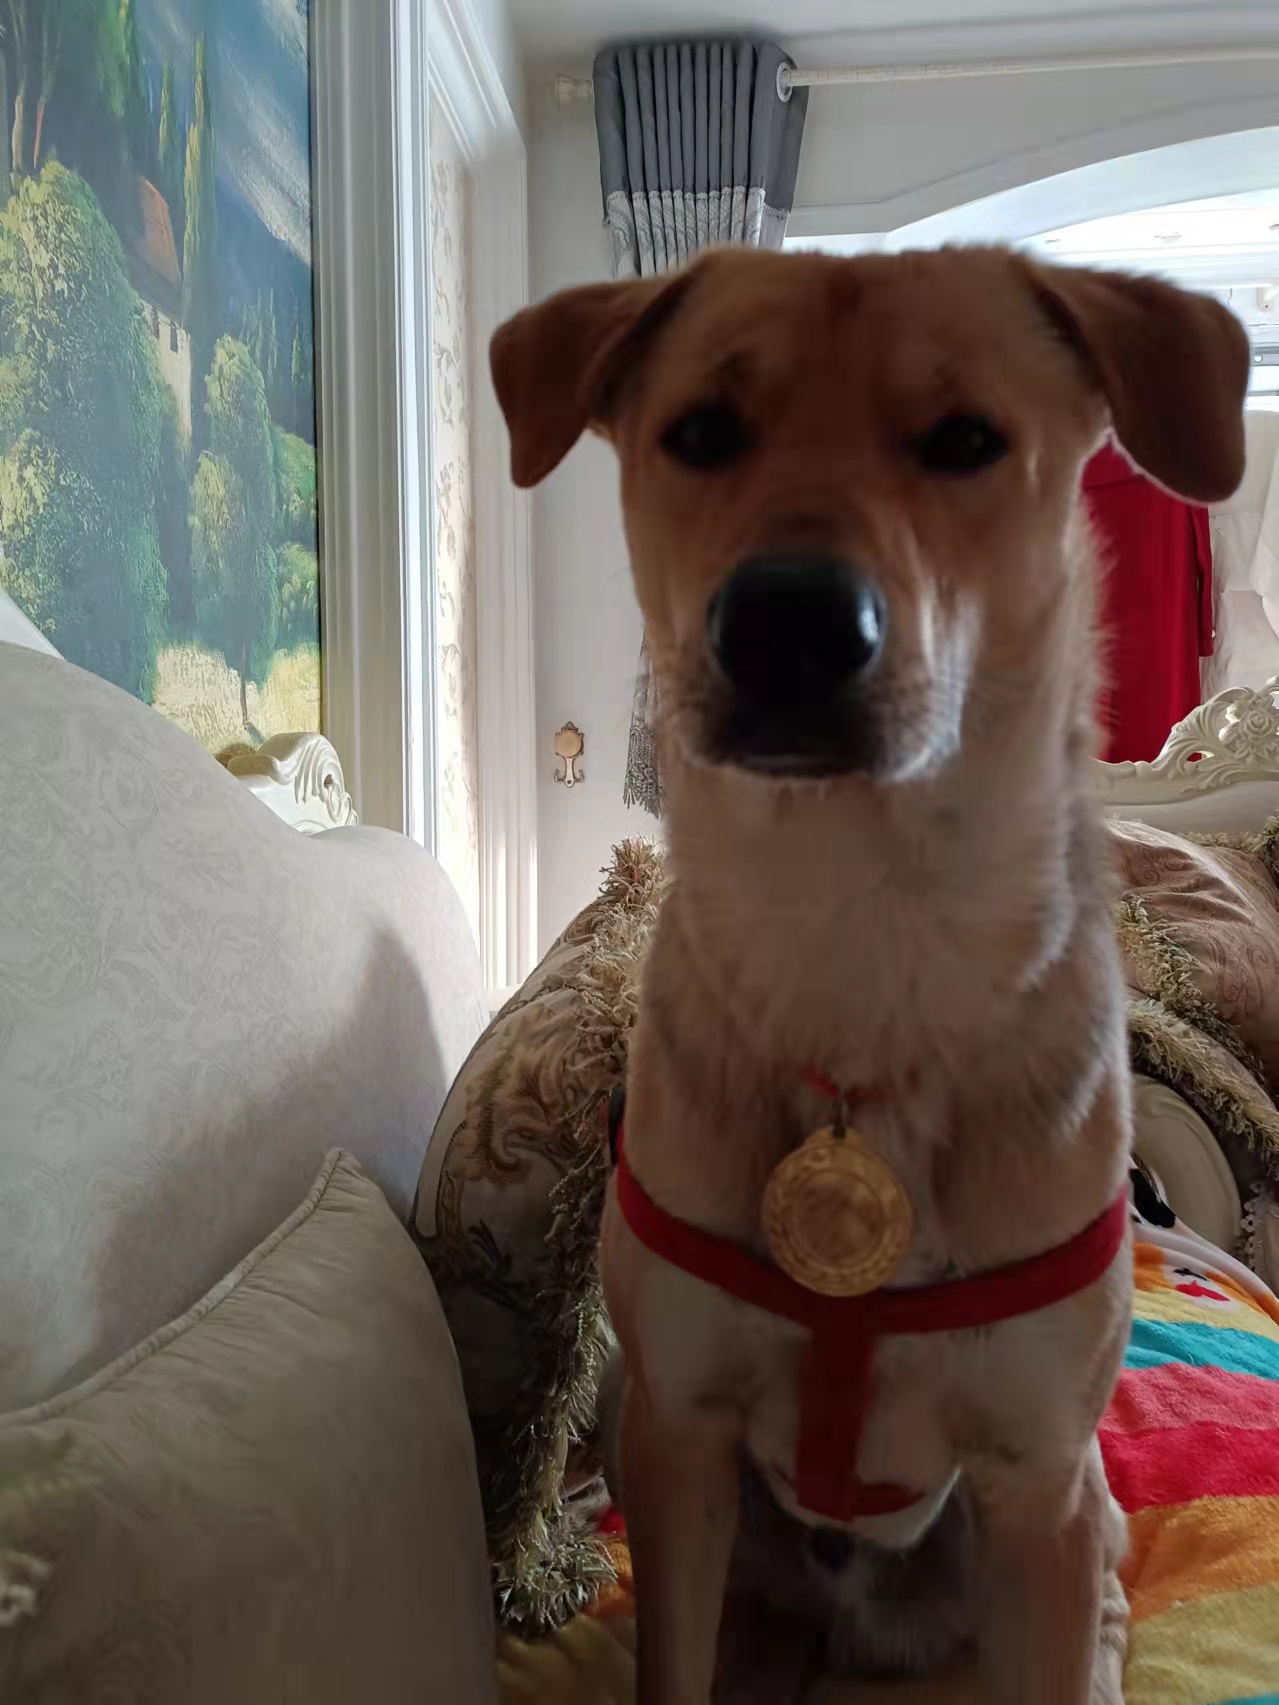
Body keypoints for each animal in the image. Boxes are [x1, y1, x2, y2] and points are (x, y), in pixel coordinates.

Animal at [490, 246, 1250, 1705]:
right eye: (700, 432)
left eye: (964, 440)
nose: (785, 625)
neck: (859, 940)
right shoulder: (677, 1443)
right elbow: (669, 1661)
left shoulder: (1033, 1479)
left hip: (1072, 1530)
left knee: (1094, 1624)